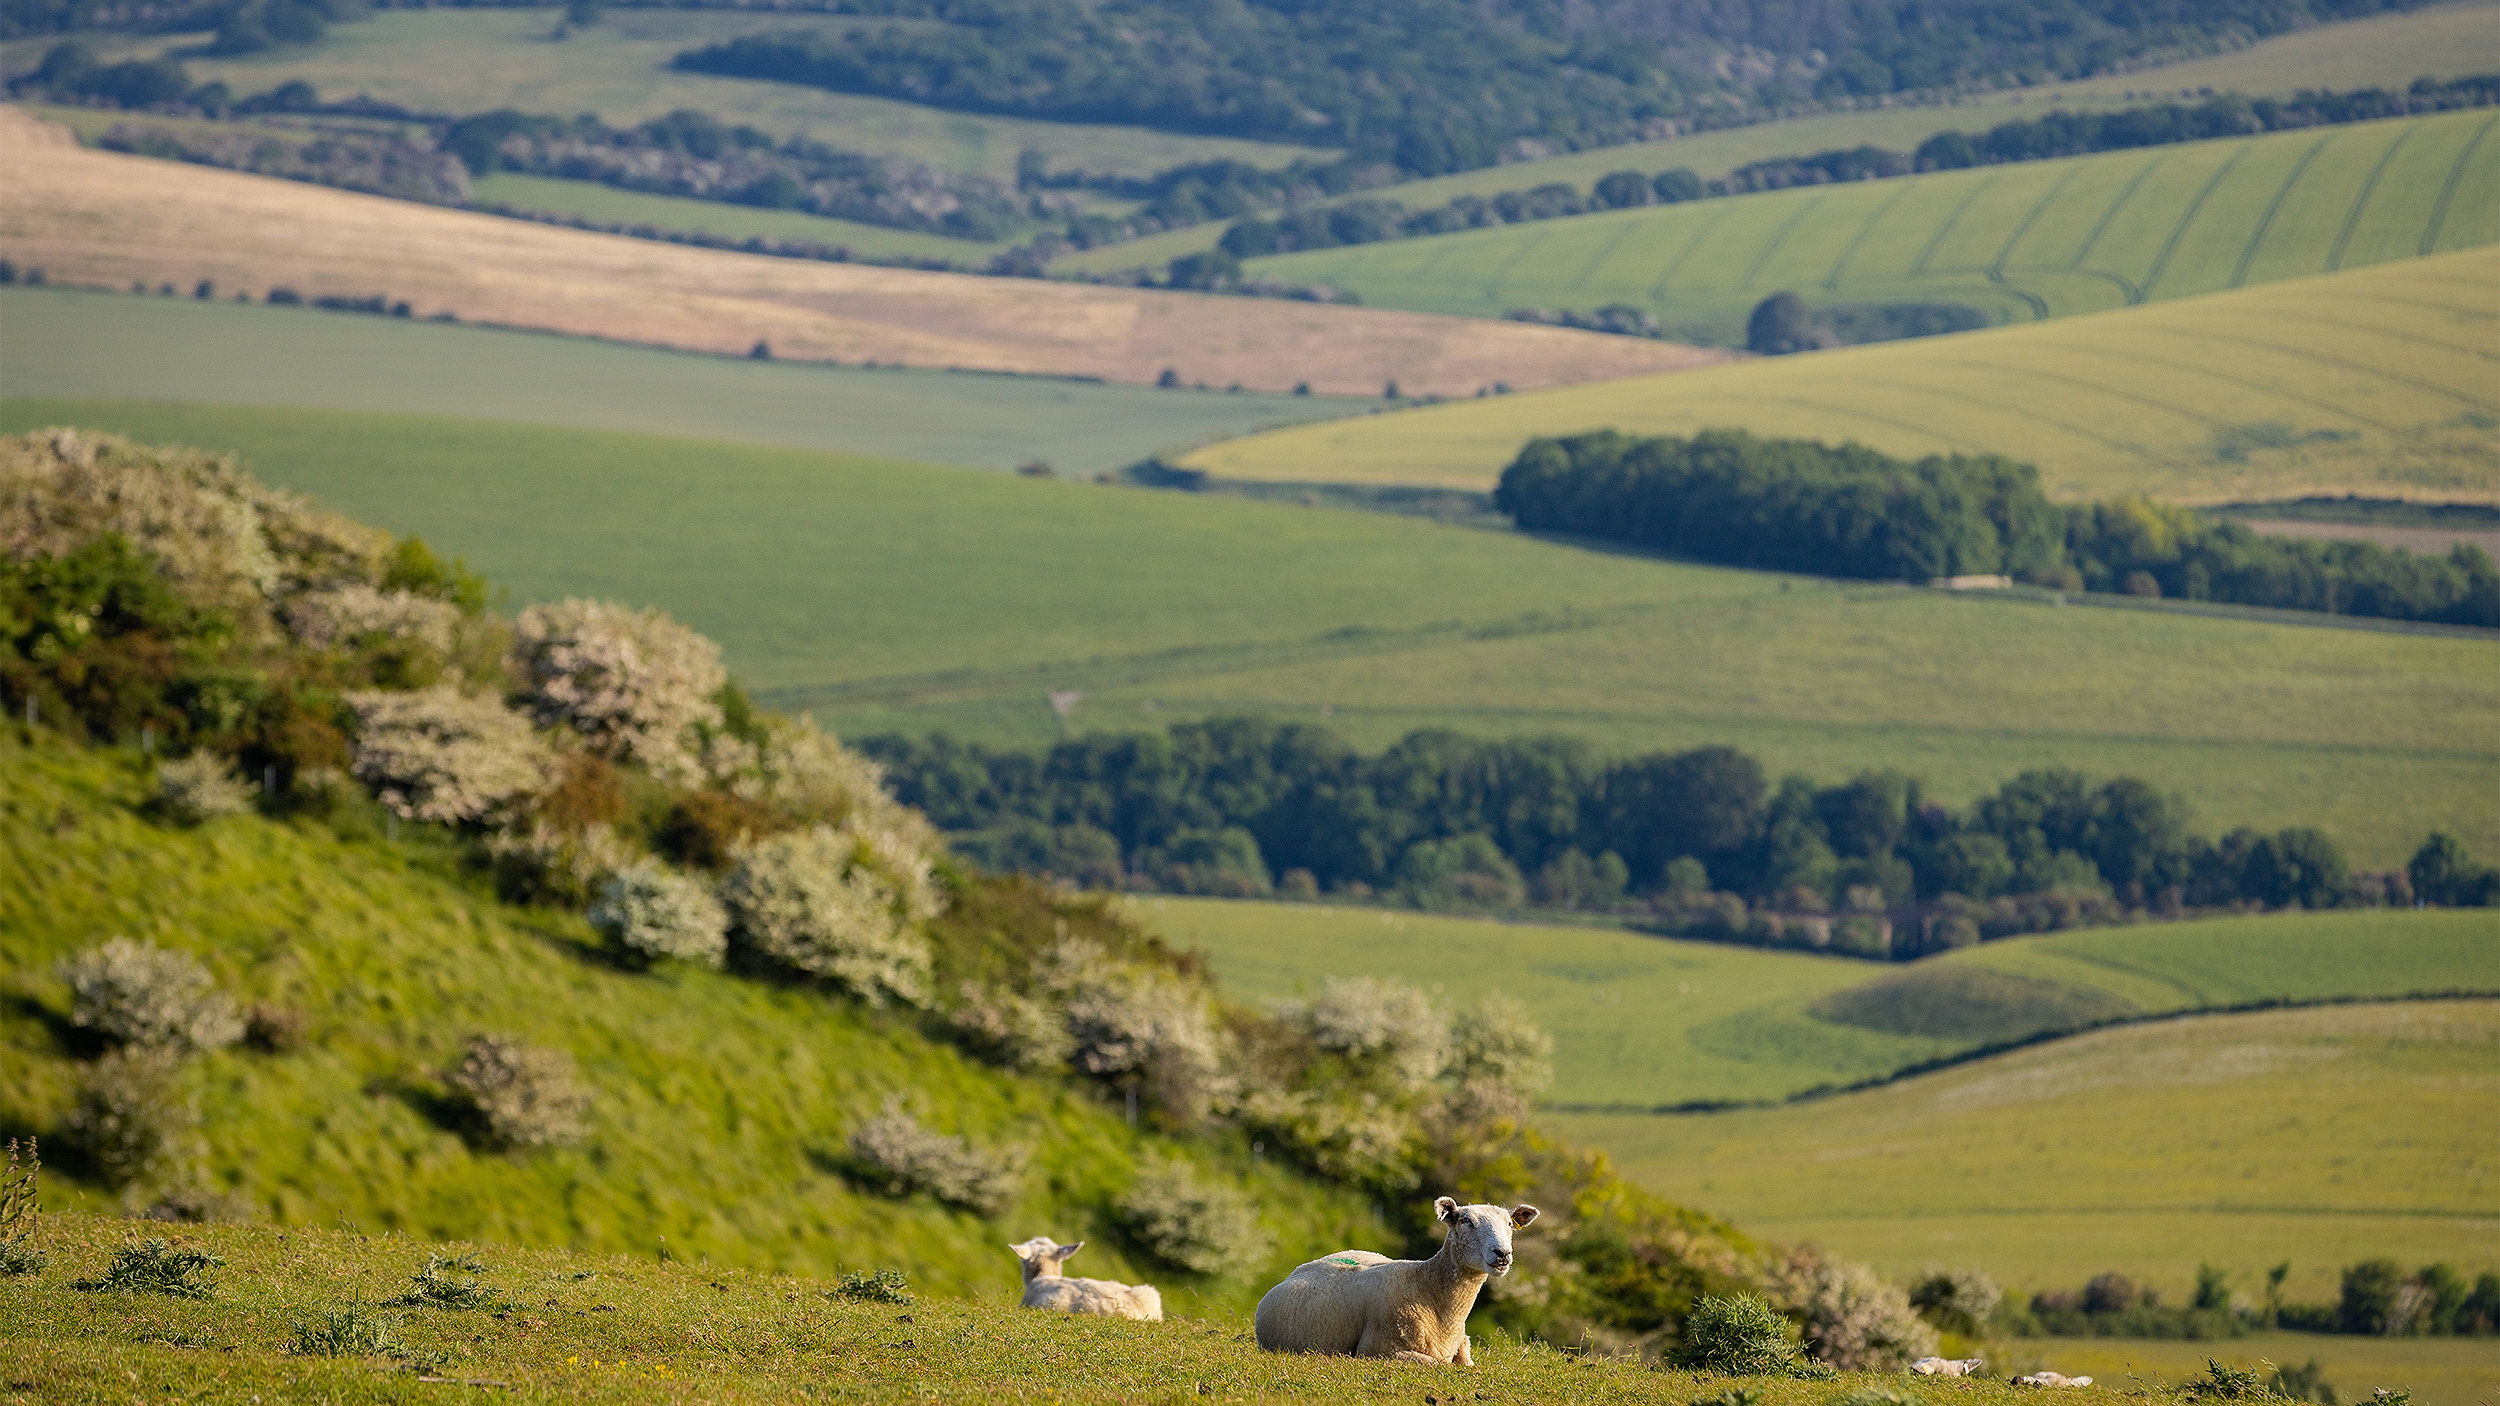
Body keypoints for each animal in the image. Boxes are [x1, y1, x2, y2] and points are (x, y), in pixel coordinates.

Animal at [1250, 1190, 1540, 1360]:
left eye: (1509, 1224)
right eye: (1465, 1221)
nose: (1502, 1253)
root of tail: (1297, 1269)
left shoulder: (1463, 1347)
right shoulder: (1378, 1349)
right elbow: (1435, 1363)